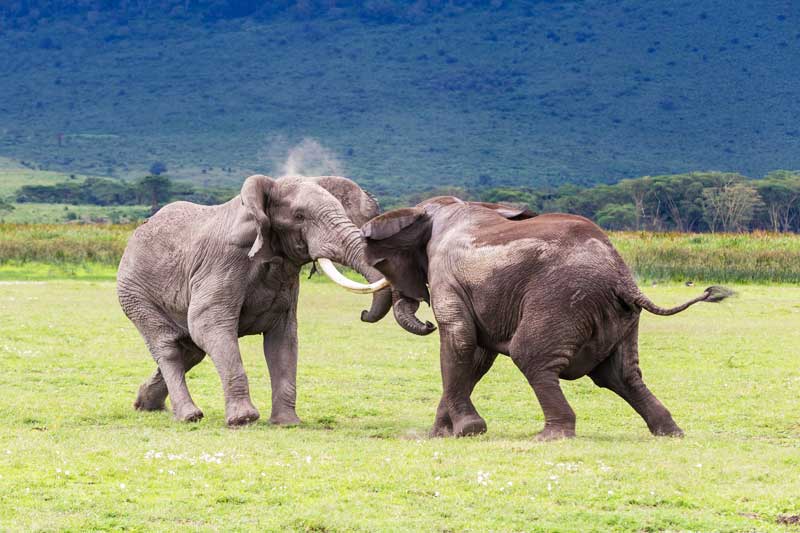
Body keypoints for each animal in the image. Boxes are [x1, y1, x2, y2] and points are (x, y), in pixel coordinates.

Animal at [119, 175, 390, 424]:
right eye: (299, 216)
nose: (364, 314)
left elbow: (283, 340)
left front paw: (287, 423)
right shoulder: (223, 263)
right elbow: (208, 325)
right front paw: (244, 420)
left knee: (191, 351)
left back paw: (146, 405)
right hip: (135, 294)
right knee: (169, 348)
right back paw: (188, 416)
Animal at [362, 197, 732, 438]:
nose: (425, 323)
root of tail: (621, 275)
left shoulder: (446, 277)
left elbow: (460, 339)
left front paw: (468, 430)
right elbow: (478, 356)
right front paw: (441, 434)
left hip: (562, 299)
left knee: (531, 355)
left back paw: (551, 436)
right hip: (618, 316)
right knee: (621, 374)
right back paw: (670, 432)